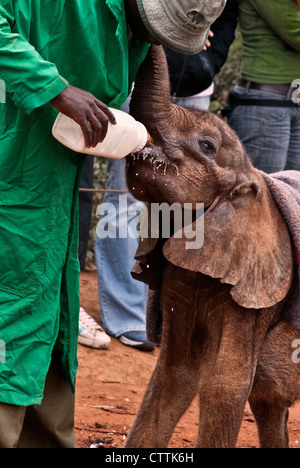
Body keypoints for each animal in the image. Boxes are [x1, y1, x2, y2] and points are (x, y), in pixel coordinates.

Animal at [124, 45, 300, 448]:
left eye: (206, 146)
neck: (251, 175)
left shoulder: (256, 293)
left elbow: (225, 386)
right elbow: (174, 375)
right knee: (269, 404)